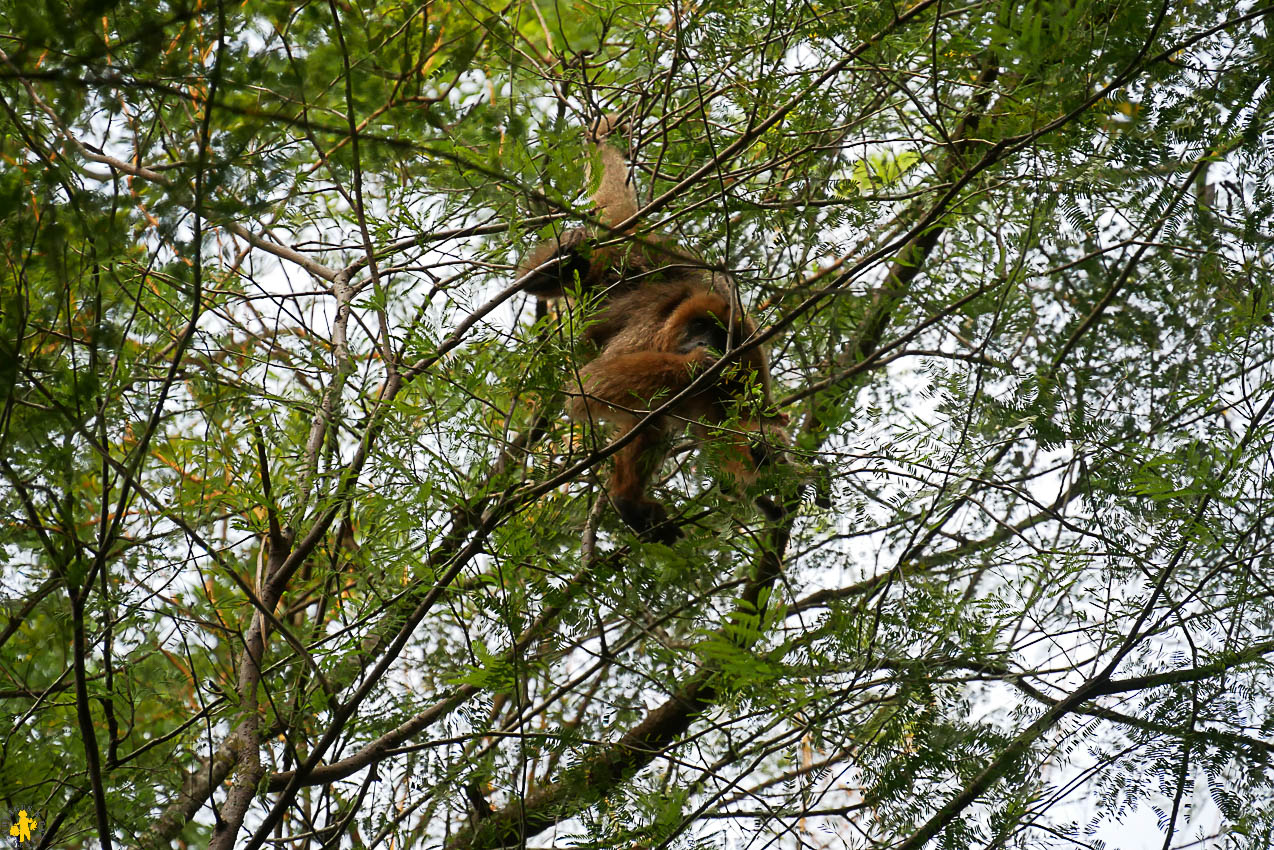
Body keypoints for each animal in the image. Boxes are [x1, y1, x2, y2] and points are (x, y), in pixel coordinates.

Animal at [517, 114, 784, 545]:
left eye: (717, 334)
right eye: (699, 328)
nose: (703, 342)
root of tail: (636, 235)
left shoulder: (750, 368)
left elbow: (729, 433)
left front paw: (771, 476)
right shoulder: (654, 329)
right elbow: (592, 383)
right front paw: (697, 364)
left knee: (652, 416)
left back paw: (628, 501)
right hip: (603, 256)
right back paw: (560, 256)